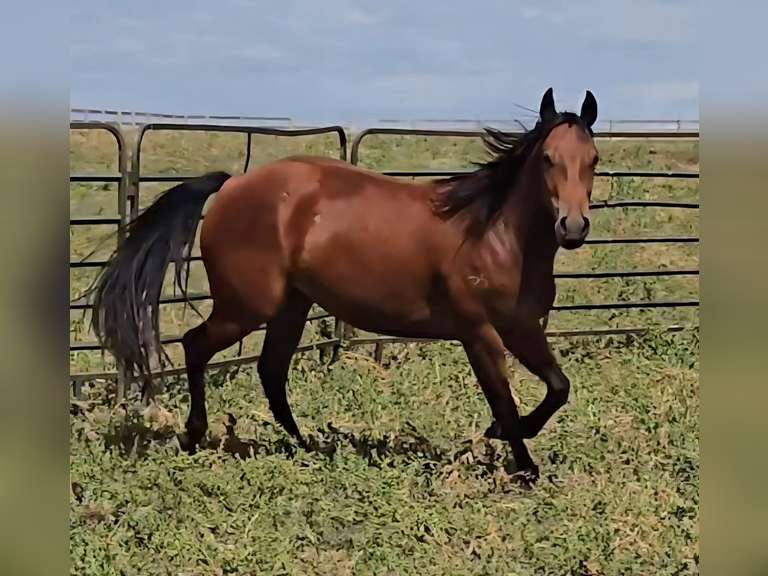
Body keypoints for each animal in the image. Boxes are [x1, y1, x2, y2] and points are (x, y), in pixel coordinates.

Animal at [89, 87, 599, 483]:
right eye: (549, 159)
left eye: (593, 160)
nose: (573, 227)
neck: (494, 233)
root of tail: (233, 185)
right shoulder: (478, 333)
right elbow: (505, 402)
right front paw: (523, 466)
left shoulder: (522, 327)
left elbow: (558, 387)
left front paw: (513, 443)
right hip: (246, 306)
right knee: (197, 345)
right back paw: (196, 435)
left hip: (290, 306)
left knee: (270, 370)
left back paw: (305, 445)